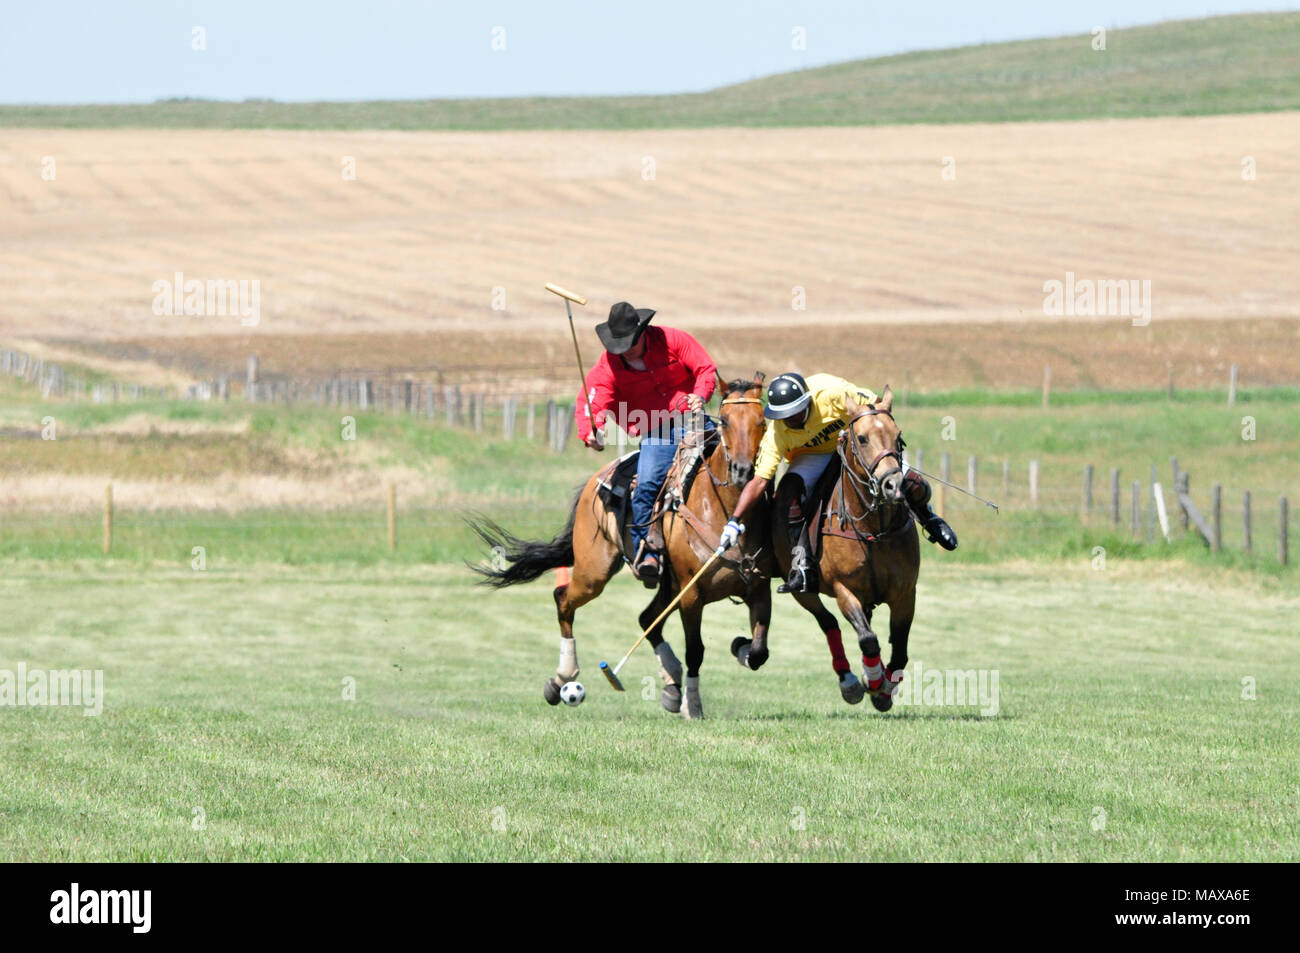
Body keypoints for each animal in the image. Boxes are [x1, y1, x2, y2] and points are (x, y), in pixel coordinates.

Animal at [467, 374, 769, 717]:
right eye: (726, 420)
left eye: (761, 420)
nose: (743, 470)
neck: (724, 509)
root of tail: (595, 480)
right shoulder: (692, 596)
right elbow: (696, 651)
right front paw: (693, 706)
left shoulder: (759, 589)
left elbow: (759, 651)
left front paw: (739, 647)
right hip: (595, 573)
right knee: (563, 599)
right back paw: (563, 679)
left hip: (667, 584)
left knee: (647, 619)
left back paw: (670, 685)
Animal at [759, 384, 920, 707]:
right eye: (862, 438)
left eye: (898, 436)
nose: (893, 486)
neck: (874, 529)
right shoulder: (844, 589)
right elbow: (868, 639)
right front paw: (873, 682)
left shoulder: (906, 593)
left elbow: (899, 648)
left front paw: (885, 688)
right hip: (803, 590)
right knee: (828, 622)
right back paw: (850, 681)